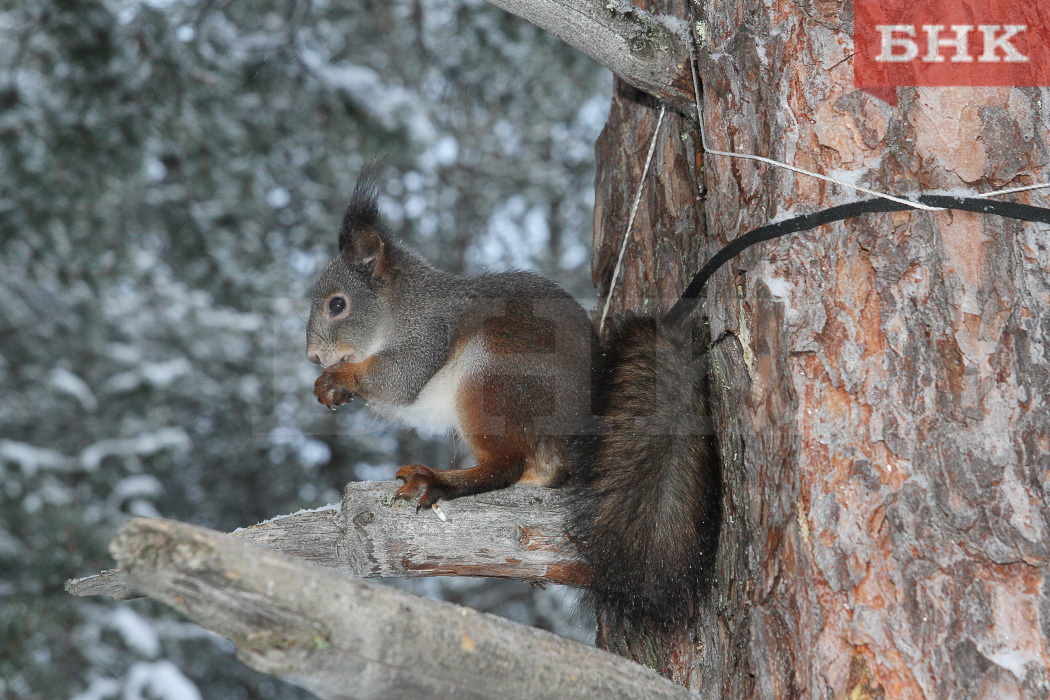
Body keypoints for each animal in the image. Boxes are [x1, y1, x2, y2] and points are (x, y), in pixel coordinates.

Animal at [306, 166, 718, 625]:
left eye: (337, 305)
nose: (313, 356)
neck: (400, 308)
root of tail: (576, 436)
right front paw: (330, 387)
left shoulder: (426, 336)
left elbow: (401, 379)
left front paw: (340, 376)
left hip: (493, 377)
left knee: (504, 466)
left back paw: (439, 481)